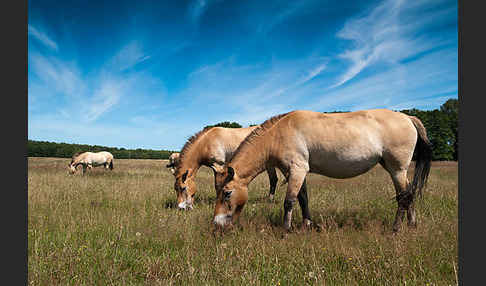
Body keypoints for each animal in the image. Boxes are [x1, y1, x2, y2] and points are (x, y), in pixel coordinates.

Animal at [214, 109, 432, 232]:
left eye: (227, 193)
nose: (216, 224)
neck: (278, 135)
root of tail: (408, 118)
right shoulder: (295, 172)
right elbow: (303, 199)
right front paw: (306, 226)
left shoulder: (297, 170)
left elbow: (289, 201)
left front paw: (286, 230)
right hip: (394, 169)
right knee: (408, 194)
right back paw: (411, 225)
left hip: (397, 169)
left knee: (404, 197)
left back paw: (396, 229)